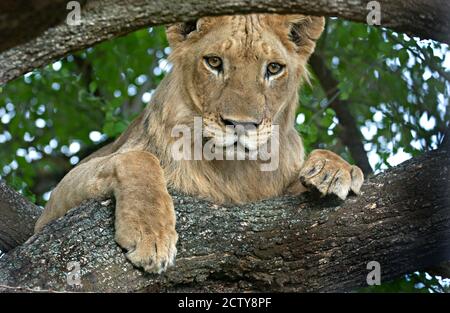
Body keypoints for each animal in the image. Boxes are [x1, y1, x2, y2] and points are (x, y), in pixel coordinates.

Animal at [36, 14, 366, 272]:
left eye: (273, 69)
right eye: (214, 62)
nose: (241, 125)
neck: (234, 169)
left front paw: (334, 169)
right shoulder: (48, 214)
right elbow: (140, 158)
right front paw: (150, 234)